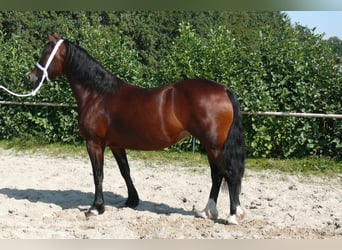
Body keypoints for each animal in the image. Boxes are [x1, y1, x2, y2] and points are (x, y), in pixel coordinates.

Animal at [28, 32, 244, 225]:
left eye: (46, 53)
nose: (31, 78)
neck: (98, 95)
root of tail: (224, 89)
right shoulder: (115, 145)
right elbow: (125, 171)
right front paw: (132, 200)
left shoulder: (94, 143)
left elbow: (98, 174)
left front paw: (96, 208)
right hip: (212, 146)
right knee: (217, 175)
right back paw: (207, 212)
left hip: (214, 146)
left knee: (226, 174)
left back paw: (230, 215)